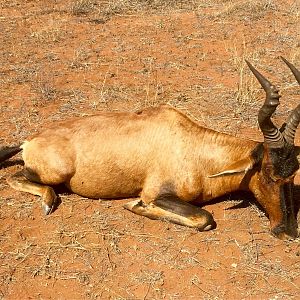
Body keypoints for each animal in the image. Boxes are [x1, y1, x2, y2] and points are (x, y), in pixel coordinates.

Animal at [0, 57, 300, 239]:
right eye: (269, 173)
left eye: (293, 174)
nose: (287, 232)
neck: (194, 148)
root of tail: (30, 140)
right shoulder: (157, 192)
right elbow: (204, 218)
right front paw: (136, 206)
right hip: (55, 173)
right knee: (16, 177)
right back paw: (48, 202)